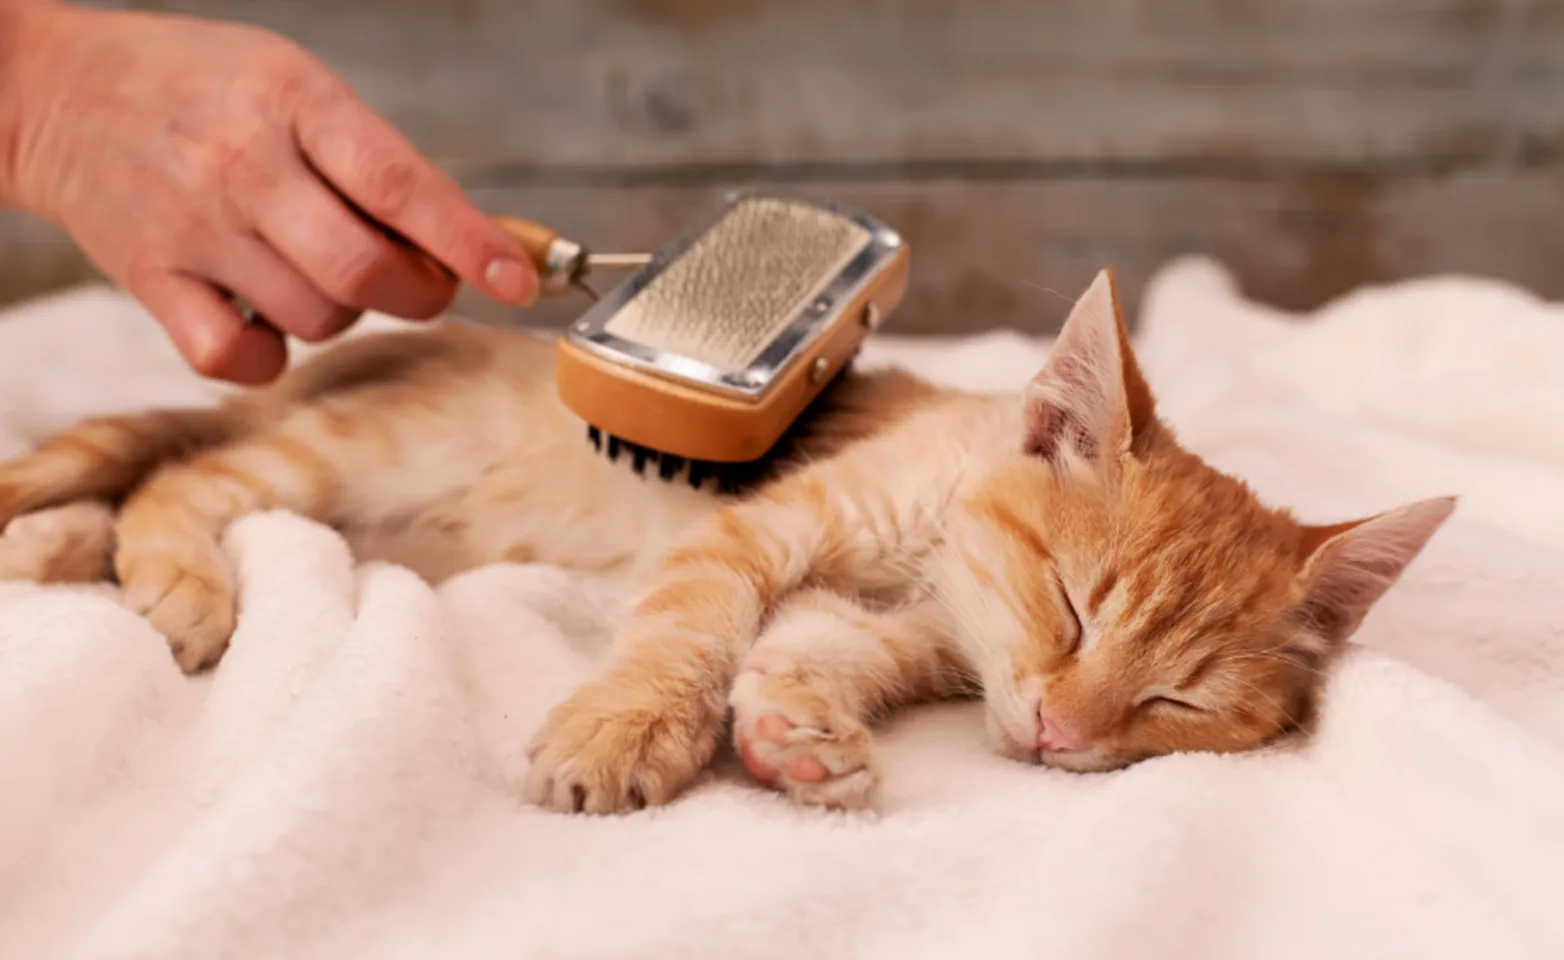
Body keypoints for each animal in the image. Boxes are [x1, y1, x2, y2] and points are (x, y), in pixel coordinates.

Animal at [0, 275, 1451, 819]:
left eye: (1176, 705)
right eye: (1072, 605)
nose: (1058, 735)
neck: (938, 569)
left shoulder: (894, 630)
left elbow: (812, 648)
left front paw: (794, 733)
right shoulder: (775, 525)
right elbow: (691, 618)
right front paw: (632, 724)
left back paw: (61, 548)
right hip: (356, 454)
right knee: (185, 476)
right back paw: (170, 577)